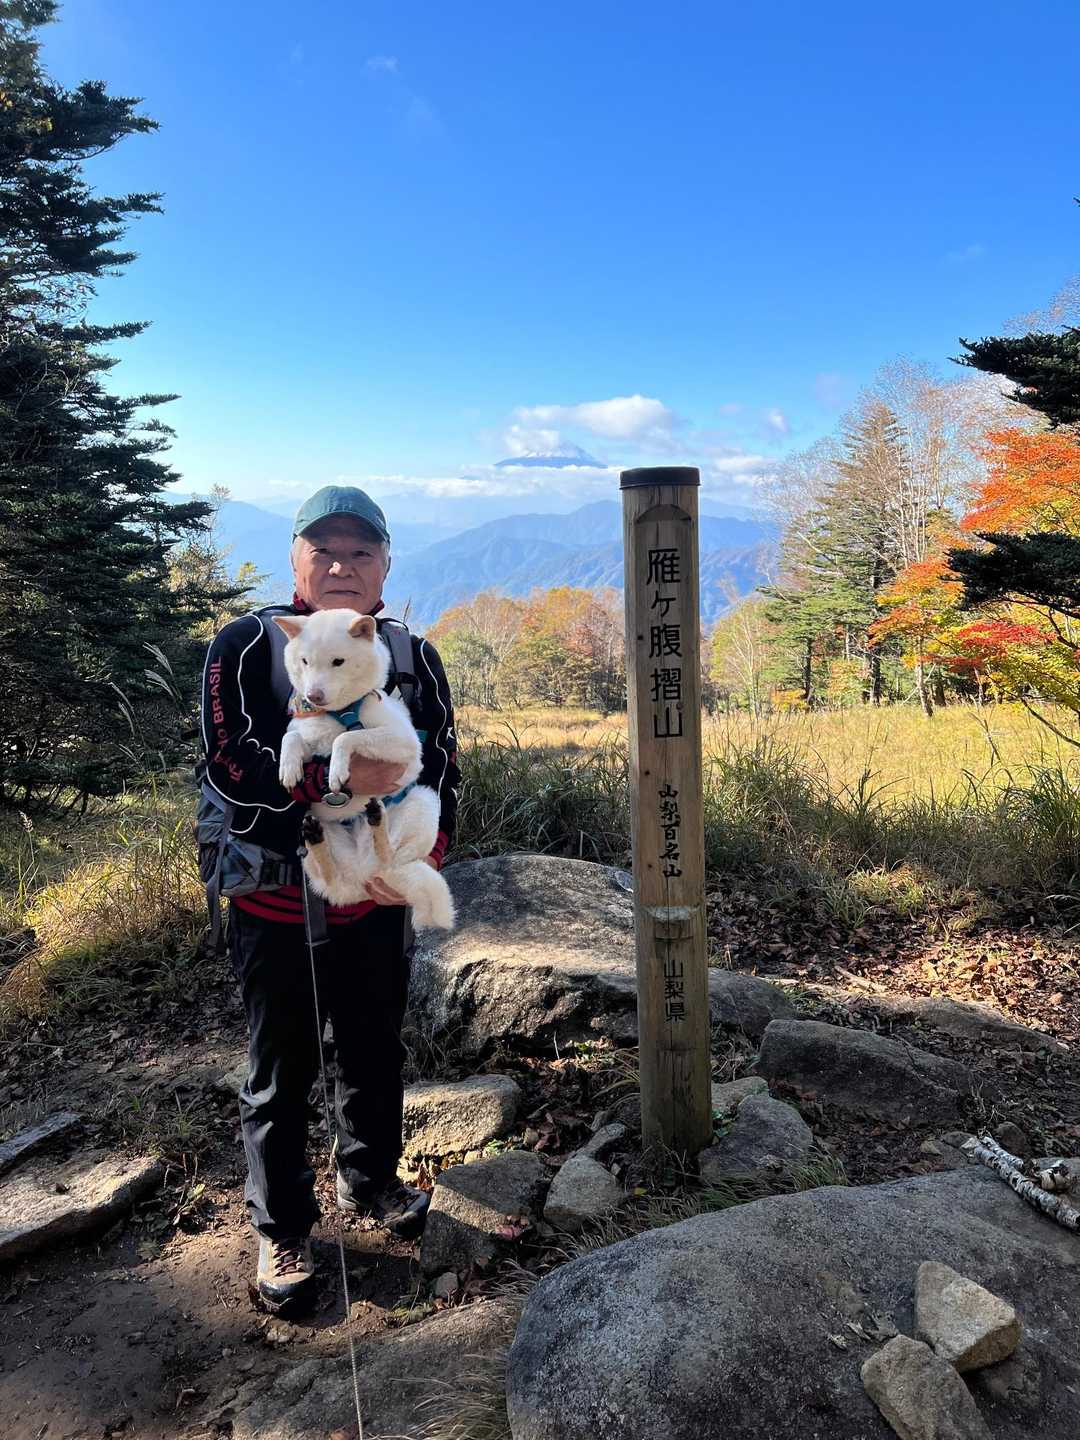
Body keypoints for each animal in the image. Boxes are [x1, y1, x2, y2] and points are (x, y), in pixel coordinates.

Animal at [273, 609, 455, 930]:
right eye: (305, 661)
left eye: (338, 661)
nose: (313, 695)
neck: (339, 712)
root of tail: (363, 877)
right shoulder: (306, 735)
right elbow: (291, 737)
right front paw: (289, 766)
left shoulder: (403, 741)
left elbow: (347, 738)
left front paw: (336, 769)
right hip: (309, 836)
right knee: (329, 874)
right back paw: (317, 837)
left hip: (423, 800)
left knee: (389, 856)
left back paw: (377, 822)